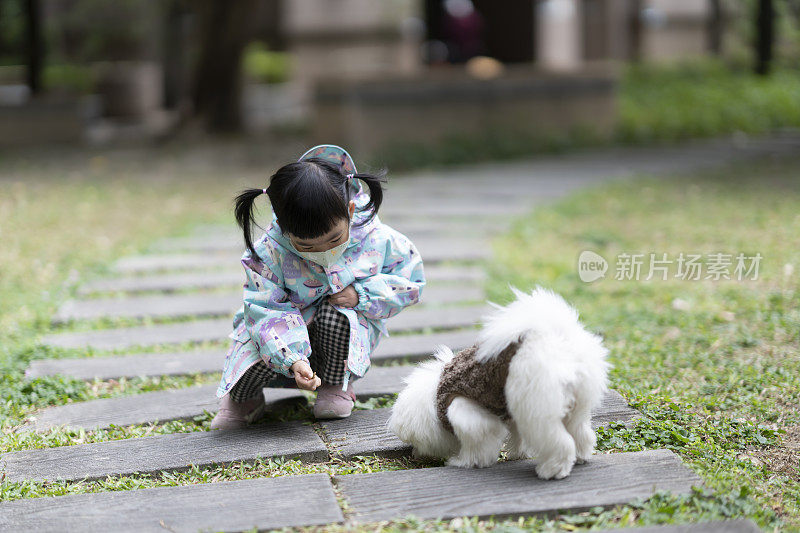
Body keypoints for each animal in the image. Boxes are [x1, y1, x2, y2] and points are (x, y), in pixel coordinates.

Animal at [390, 286, 608, 478]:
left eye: (417, 442)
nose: (415, 455)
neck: (436, 398)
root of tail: (556, 340)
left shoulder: (468, 415)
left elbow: (477, 445)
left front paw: (464, 462)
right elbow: (516, 436)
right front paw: (517, 454)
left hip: (537, 411)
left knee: (558, 441)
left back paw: (552, 470)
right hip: (576, 406)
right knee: (580, 432)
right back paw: (580, 456)